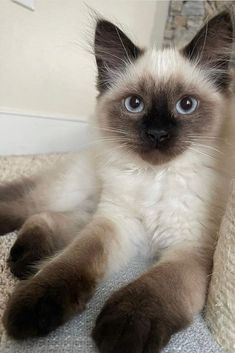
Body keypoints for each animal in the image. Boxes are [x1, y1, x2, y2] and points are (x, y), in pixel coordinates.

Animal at [0, 11, 235, 352]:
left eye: (186, 105)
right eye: (134, 104)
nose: (157, 134)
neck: (156, 178)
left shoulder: (191, 247)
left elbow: (155, 288)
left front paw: (123, 330)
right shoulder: (114, 222)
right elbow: (72, 261)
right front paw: (34, 308)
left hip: (86, 204)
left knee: (47, 216)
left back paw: (28, 259)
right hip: (76, 192)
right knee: (30, 205)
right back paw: (26, 260)